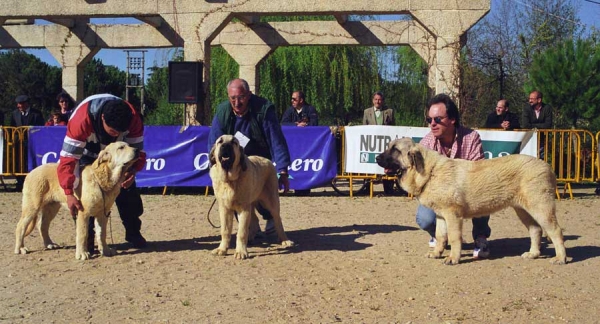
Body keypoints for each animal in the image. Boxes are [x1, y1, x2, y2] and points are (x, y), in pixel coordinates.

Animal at [378, 138, 564, 264]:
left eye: (395, 149)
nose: (377, 159)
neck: (431, 172)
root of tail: (548, 167)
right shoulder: (441, 216)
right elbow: (440, 236)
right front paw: (437, 253)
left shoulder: (452, 215)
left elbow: (454, 238)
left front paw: (453, 258)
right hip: (523, 210)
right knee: (535, 230)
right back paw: (533, 254)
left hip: (541, 208)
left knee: (555, 231)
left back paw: (560, 258)